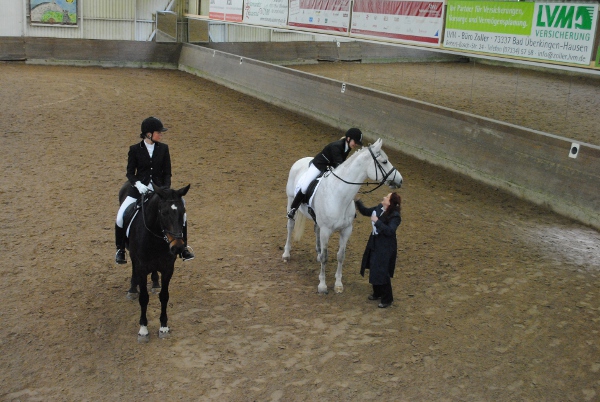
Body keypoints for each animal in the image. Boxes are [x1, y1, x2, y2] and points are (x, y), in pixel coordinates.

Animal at [118, 182, 190, 342]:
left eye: (183, 212)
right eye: (163, 213)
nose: (178, 247)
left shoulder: (168, 268)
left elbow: (164, 296)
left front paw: (164, 327)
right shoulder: (142, 268)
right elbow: (144, 298)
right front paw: (143, 330)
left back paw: (155, 283)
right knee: (133, 268)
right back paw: (132, 289)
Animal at [282, 138, 402, 294]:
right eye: (384, 161)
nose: (400, 180)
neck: (339, 195)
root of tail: (301, 160)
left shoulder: (346, 230)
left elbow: (341, 256)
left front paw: (338, 284)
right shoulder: (326, 230)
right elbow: (326, 257)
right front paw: (322, 285)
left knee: (316, 229)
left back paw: (317, 252)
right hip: (291, 200)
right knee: (290, 226)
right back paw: (286, 254)